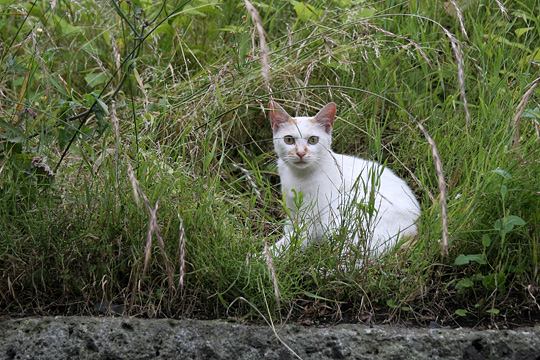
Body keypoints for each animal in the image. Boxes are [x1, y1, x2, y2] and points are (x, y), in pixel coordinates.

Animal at [272, 101, 420, 258]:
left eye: (313, 140)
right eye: (288, 140)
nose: (300, 153)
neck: (298, 177)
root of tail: (415, 227)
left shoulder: (314, 220)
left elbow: (293, 239)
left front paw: (266, 255)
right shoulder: (292, 211)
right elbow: (290, 228)